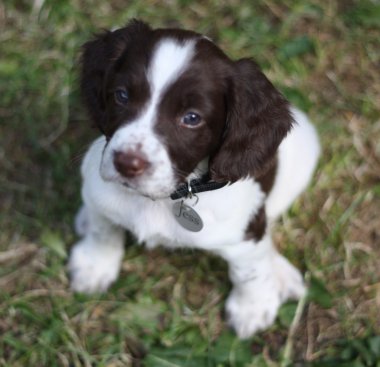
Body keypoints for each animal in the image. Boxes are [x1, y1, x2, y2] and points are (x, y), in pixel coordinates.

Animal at [69, 18, 320, 338]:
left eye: (191, 118)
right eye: (121, 96)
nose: (126, 163)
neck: (162, 199)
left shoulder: (244, 231)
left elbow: (249, 270)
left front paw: (252, 308)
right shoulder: (99, 193)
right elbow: (103, 231)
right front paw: (94, 267)